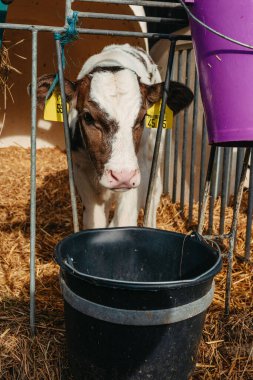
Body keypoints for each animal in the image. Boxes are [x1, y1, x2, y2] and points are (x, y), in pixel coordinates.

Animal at [35, 44, 193, 229]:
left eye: (142, 118)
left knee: (155, 193)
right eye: (88, 117)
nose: (122, 176)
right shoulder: (81, 169)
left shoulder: (141, 170)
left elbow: (123, 220)